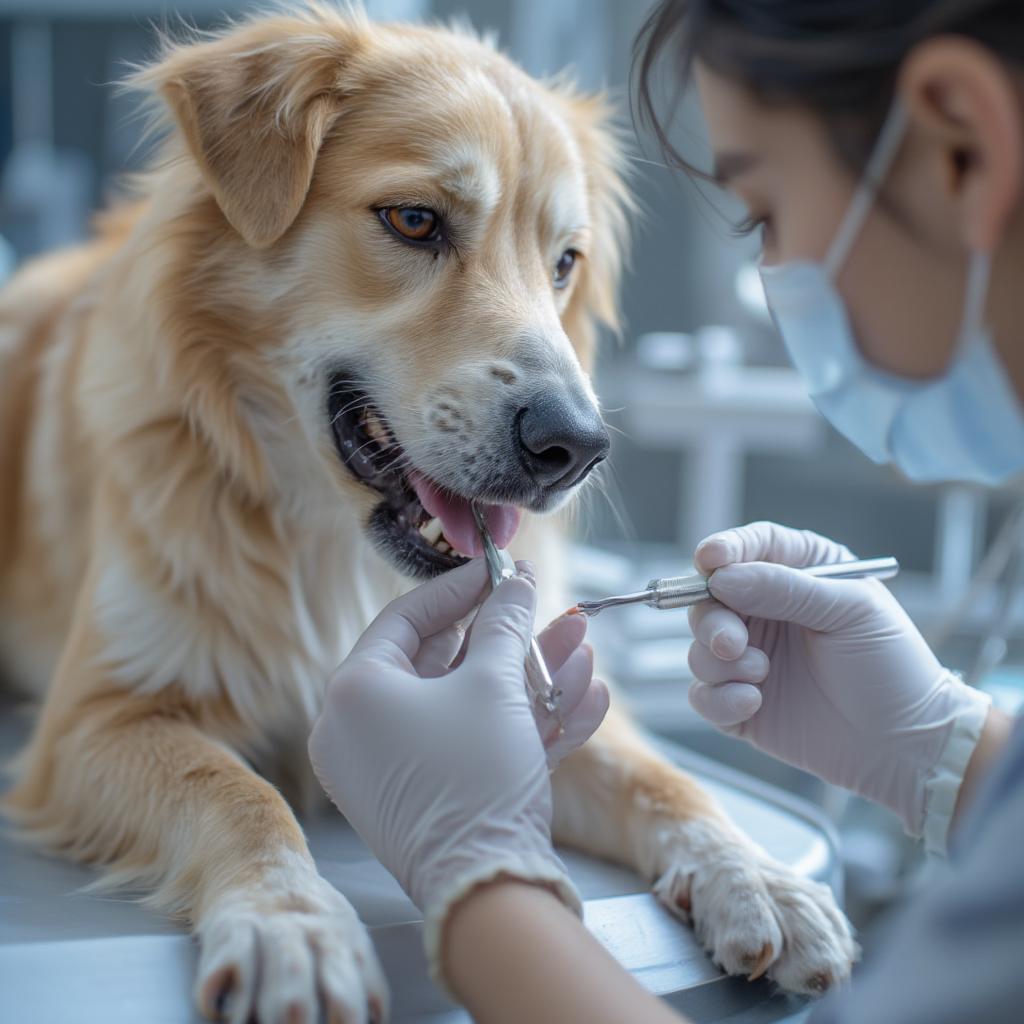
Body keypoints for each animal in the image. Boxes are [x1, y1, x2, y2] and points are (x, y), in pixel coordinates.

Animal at [0, 4, 856, 1019]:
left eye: (565, 263)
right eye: (413, 220)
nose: (576, 447)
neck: (329, 544)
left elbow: (660, 778)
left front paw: (753, 871)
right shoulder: (95, 721)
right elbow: (236, 791)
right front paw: (292, 921)